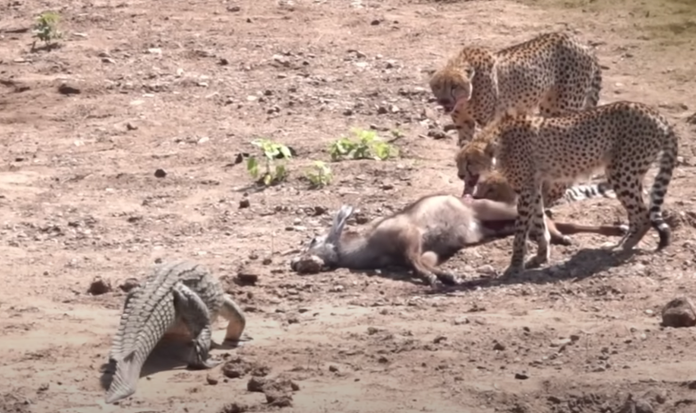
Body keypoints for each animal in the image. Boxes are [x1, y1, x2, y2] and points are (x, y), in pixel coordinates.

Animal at [426, 30, 600, 145]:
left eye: (455, 86)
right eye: (438, 86)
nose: (444, 101)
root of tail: (580, 42)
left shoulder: (488, 121)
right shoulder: (464, 123)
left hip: (566, 106)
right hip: (549, 107)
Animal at [460, 100, 676, 276]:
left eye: (469, 163)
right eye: (459, 162)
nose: (460, 175)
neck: (499, 142)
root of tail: (655, 113)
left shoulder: (527, 190)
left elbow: (521, 231)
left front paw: (514, 265)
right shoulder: (534, 188)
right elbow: (539, 223)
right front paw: (540, 257)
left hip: (621, 172)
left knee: (643, 215)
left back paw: (623, 247)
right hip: (628, 174)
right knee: (636, 214)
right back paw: (623, 242)